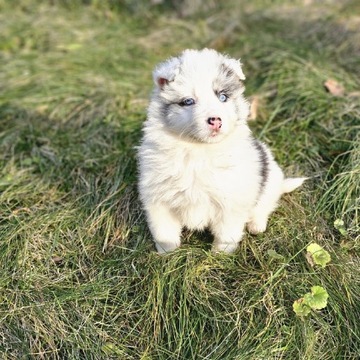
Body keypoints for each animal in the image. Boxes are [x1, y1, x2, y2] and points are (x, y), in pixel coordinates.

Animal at [136, 48, 306, 253]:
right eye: (188, 101)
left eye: (223, 97)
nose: (216, 120)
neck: (199, 151)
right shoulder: (159, 200)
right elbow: (164, 231)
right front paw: (167, 253)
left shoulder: (232, 200)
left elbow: (227, 233)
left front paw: (220, 255)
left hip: (270, 181)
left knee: (264, 206)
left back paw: (256, 225)